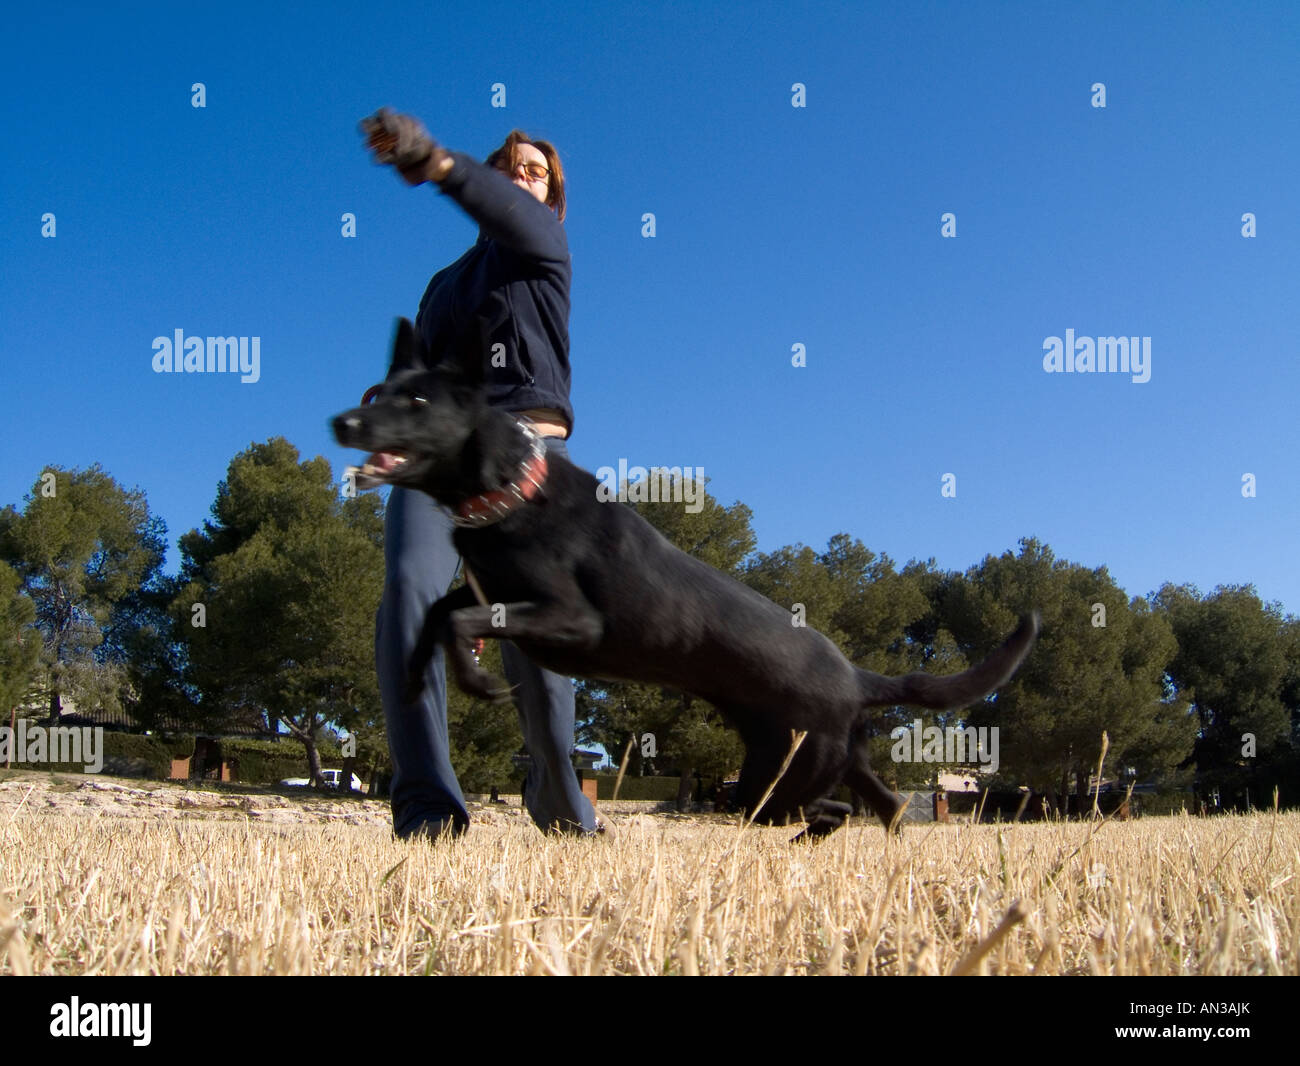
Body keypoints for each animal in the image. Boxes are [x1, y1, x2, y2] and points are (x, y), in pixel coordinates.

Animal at [332, 321, 1034, 837]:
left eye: (418, 402)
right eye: (384, 390)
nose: (344, 423)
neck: (511, 489)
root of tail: (859, 678)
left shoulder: (571, 620)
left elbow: (460, 618)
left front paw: (476, 680)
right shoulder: (490, 587)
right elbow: (436, 614)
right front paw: (417, 671)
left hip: (781, 776)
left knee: (822, 810)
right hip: (822, 761)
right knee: (879, 807)